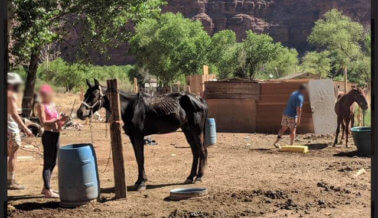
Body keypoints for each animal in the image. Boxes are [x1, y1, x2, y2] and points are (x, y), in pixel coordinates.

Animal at [75, 79, 208, 190]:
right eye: (85, 94)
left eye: (93, 95)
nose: (80, 113)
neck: (131, 107)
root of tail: (199, 99)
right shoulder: (133, 137)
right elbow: (138, 158)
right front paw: (139, 181)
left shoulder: (138, 136)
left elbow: (140, 158)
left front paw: (142, 183)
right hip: (187, 130)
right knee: (195, 151)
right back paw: (190, 177)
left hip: (196, 130)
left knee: (202, 150)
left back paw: (199, 177)